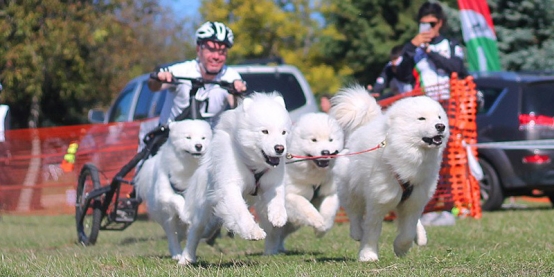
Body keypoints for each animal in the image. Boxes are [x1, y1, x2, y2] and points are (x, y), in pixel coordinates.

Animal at [134, 118, 211, 258]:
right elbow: (177, 199)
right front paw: (185, 213)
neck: (188, 167)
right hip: (167, 217)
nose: (199, 146)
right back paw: (176, 253)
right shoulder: (164, 195)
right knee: (172, 236)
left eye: (203, 138)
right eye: (188, 137)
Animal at [178, 91, 292, 264]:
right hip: (203, 209)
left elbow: (278, 197)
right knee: (195, 232)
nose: (280, 148)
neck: (253, 163)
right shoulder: (230, 187)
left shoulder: (272, 182)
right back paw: (186, 259)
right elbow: (241, 211)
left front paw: (278, 216)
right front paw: (253, 232)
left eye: (283, 132)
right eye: (264, 131)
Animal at [260, 111, 342, 253]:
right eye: (314, 140)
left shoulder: (329, 193)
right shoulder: (291, 195)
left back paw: (281, 249)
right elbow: (305, 206)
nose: (325, 152)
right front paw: (318, 221)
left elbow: (328, 211)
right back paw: (271, 252)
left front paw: (322, 229)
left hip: (292, 224)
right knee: (272, 234)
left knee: (282, 234)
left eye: (330, 140)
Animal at [330, 85, 446, 262]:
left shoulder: (415, 200)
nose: (441, 126)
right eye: (421, 119)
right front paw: (368, 255)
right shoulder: (379, 200)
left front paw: (401, 249)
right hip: (350, 188)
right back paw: (357, 232)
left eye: (439, 117)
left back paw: (421, 236)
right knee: (354, 212)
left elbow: (408, 230)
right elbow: (372, 230)